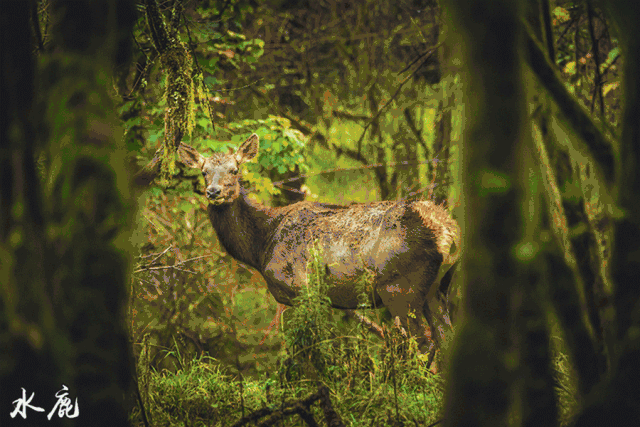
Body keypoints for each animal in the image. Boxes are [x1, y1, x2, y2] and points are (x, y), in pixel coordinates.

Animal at [178, 133, 460, 367]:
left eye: (234, 170)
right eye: (204, 172)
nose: (213, 191)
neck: (261, 244)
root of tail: (447, 234)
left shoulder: (300, 287)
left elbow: (308, 348)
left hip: (399, 286)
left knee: (424, 344)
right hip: (439, 288)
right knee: (446, 339)